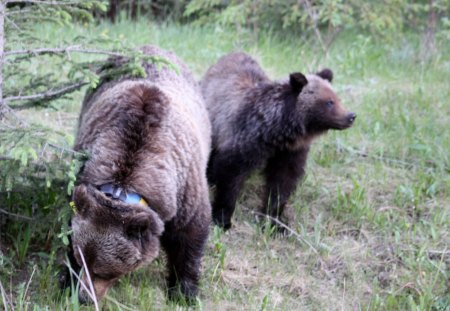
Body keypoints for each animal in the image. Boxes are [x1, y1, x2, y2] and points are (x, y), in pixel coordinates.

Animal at [62, 45, 213, 304]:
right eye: (82, 260)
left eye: (104, 271)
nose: (84, 297)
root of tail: (149, 47)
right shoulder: (82, 173)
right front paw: (67, 280)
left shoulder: (184, 193)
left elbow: (190, 236)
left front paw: (184, 292)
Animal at [202, 52, 356, 230]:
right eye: (329, 101)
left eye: (338, 98)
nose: (351, 116)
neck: (279, 132)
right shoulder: (246, 139)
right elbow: (230, 175)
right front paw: (222, 218)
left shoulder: (290, 151)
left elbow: (282, 182)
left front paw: (274, 221)